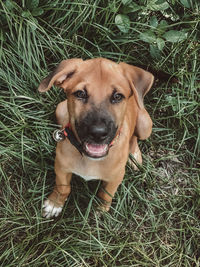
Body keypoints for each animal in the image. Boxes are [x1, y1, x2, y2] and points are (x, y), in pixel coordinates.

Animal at [38, 58, 153, 218]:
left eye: (117, 96)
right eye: (80, 94)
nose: (98, 133)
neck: (89, 159)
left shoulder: (116, 177)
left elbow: (106, 194)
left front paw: (101, 210)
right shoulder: (61, 167)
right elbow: (63, 187)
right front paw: (55, 203)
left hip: (145, 125)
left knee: (135, 138)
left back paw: (134, 156)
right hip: (59, 110)